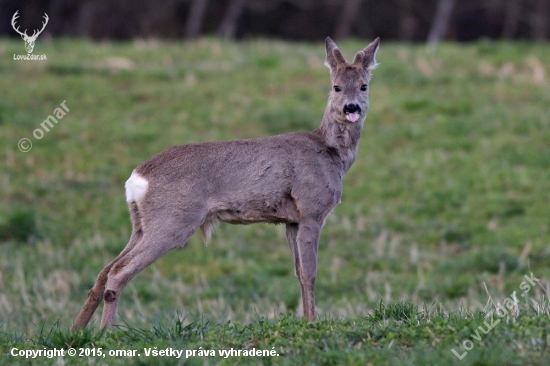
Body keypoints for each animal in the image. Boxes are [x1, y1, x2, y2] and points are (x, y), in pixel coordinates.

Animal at [71, 37, 382, 332]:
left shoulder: (291, 221)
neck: (331, 153)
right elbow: (310, 274)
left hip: (140, 224)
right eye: (336, 87)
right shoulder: (311, 210)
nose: (351, 107)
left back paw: (77, 331)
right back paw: (106, 332)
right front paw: (311, 323)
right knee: (118, 272)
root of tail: (136, 178)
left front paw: (306, 319)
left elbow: (297, 272)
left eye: (364, 86)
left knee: (104, 271)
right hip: (174, 220)